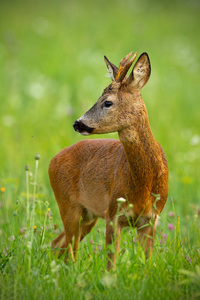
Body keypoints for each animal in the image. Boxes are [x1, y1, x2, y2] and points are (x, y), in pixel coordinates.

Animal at [49, 50, 168, 270]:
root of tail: (53, 160)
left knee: (57, 244)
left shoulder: (151, 219)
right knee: (70, 250)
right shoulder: (113, 213)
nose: (78, 124)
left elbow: (147, 263)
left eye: (107, 102)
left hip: (88, 216)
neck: (144, 183)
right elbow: (111, 263)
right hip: (68, 205)